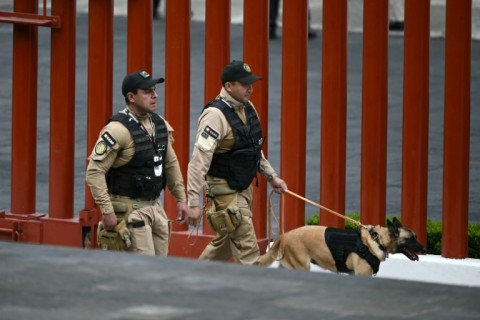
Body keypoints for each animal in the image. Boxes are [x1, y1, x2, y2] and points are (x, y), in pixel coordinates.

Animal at [256, 219, 426, 276]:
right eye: (411, 239)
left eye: (416, 236)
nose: (424, 250)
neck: (378, 239)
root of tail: (284, 235)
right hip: (301, 267)